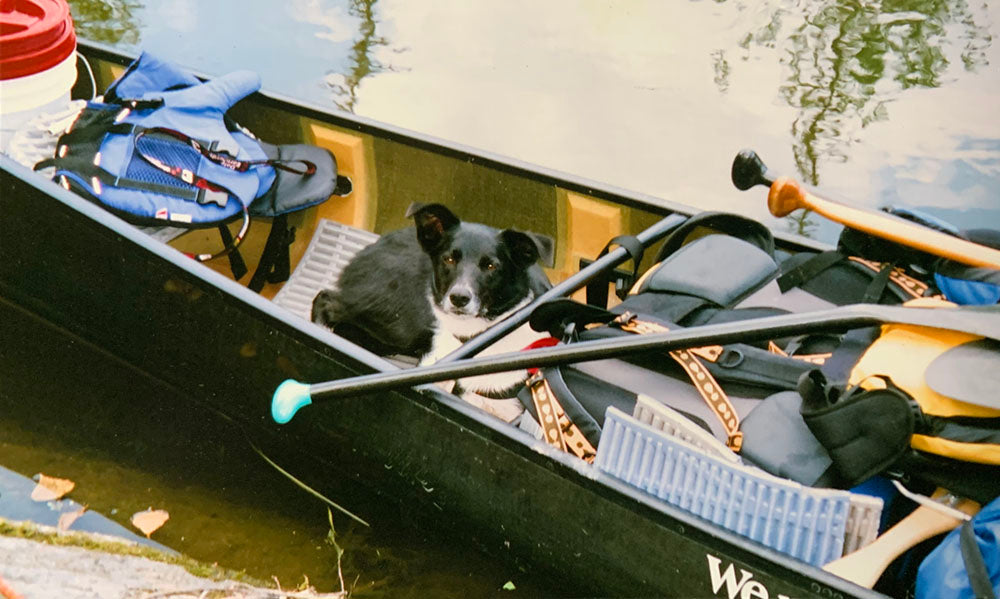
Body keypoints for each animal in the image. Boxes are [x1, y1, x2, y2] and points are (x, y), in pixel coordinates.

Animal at [310, 204, 556, 420]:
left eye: (491, 266)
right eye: (449, 258)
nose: (459, 298)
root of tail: (380, 241)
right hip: (398, 319)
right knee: (325, 299)